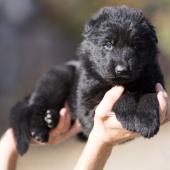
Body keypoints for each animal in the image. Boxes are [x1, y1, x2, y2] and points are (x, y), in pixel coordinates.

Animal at [9, 5, 165, 155]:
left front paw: (146, 122)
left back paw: (51, 118)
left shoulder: (153, 81)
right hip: (57, 77)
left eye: (135, 45)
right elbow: (118, 96)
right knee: (35, 106)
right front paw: (129, 116)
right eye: (108, 44)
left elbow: (150, 96)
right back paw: (39, 129)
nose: (122, 70)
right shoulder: (89, 103)